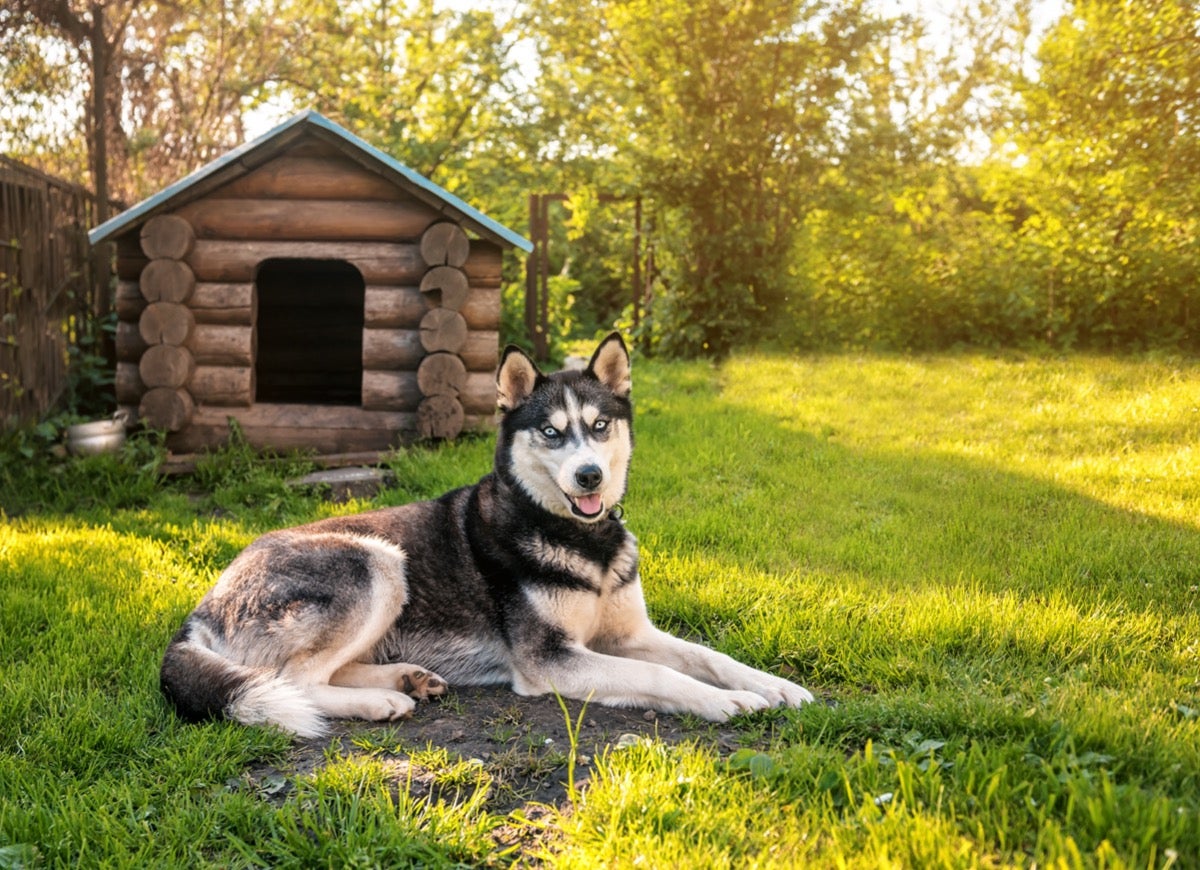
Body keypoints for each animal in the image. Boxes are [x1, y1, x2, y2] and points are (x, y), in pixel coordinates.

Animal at [159, 333, 811, 734]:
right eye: (551, 433)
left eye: (600, 426)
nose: (590, 475)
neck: (582, 542)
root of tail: (204, 603)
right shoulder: (552, 660)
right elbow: (662, 676)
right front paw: (727, 702)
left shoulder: (629, 634)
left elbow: (708, 655)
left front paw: (775, 687)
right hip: (376, 561)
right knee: (289, 681)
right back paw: (379, 698)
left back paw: (407, 678)